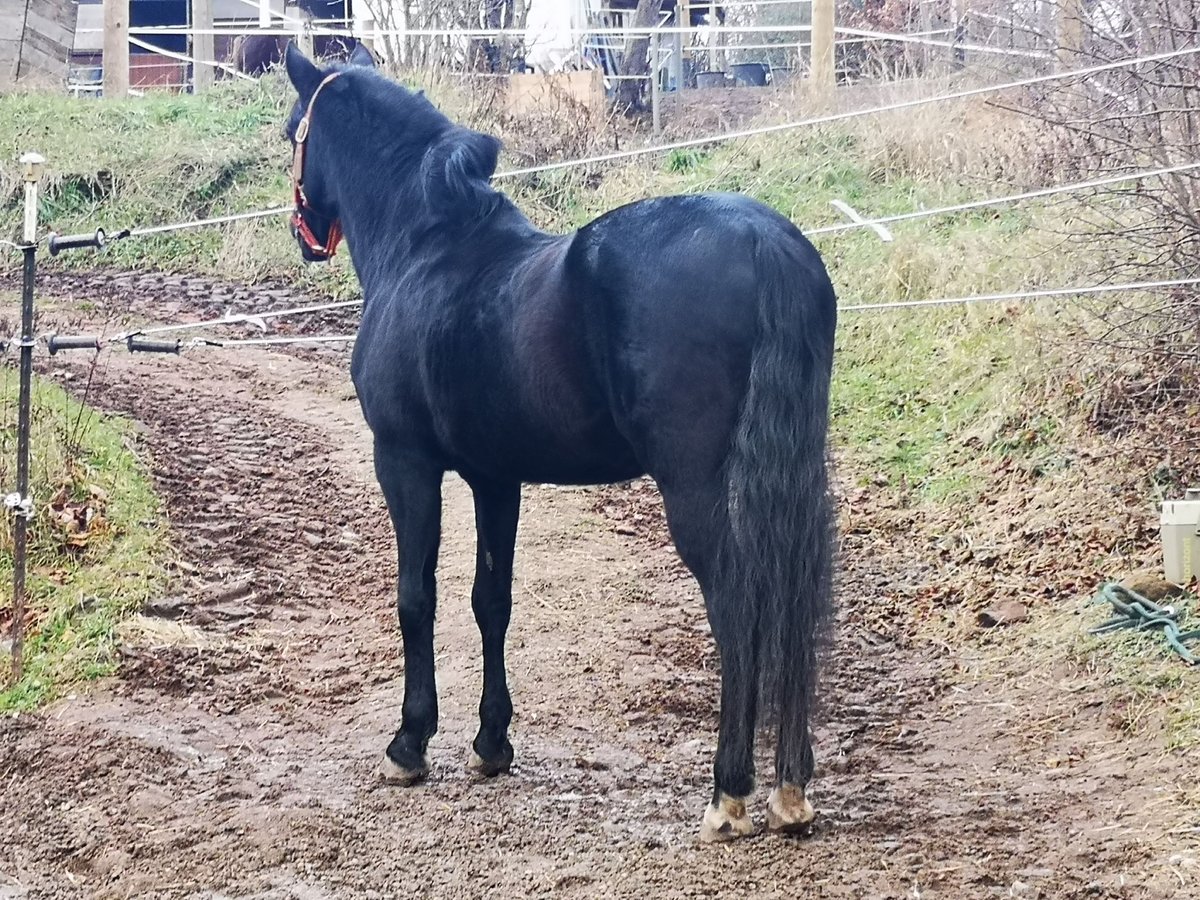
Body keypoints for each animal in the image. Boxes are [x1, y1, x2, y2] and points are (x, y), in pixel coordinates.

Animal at [285, 45, 840, 844]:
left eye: (292, 129)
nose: (304, 233)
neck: (426, 248)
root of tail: (764, 241)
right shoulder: (494, 477)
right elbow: (491, 600)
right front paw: (491, 743)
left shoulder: (404, 462)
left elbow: (416, 597)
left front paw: (409, 744)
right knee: (790, 598)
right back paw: (790, 790)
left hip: (696, 489)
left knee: (739, 606)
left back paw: (728, 792)